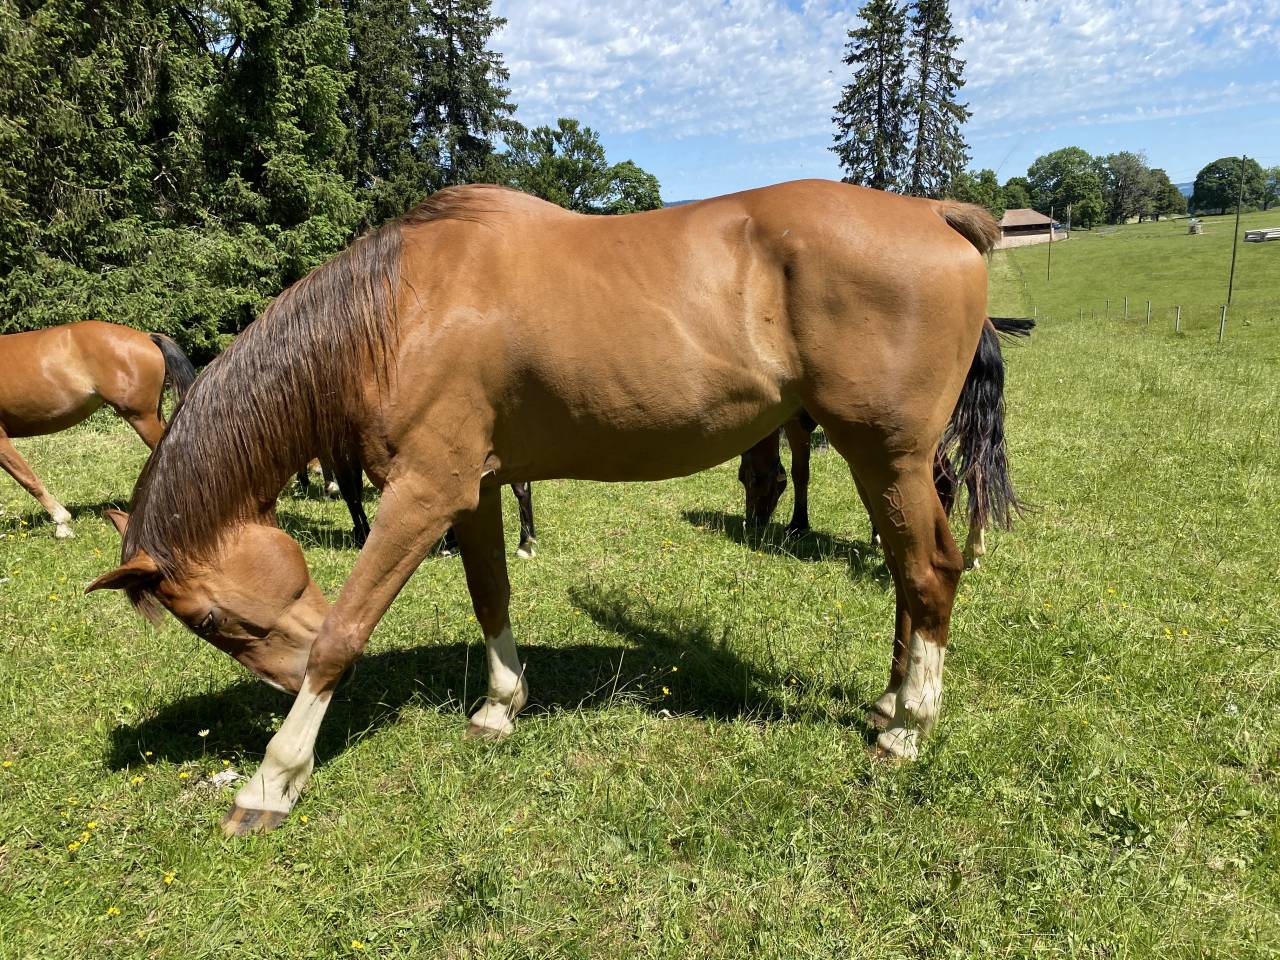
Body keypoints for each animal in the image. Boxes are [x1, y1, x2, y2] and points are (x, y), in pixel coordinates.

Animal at [739, 317, 1034, 568]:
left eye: (748, 479)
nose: (753, 520)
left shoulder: (797, 424)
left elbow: (801, 473)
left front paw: (798, 523)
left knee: (947, 480)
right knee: (976, 477)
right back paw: (971, 550)